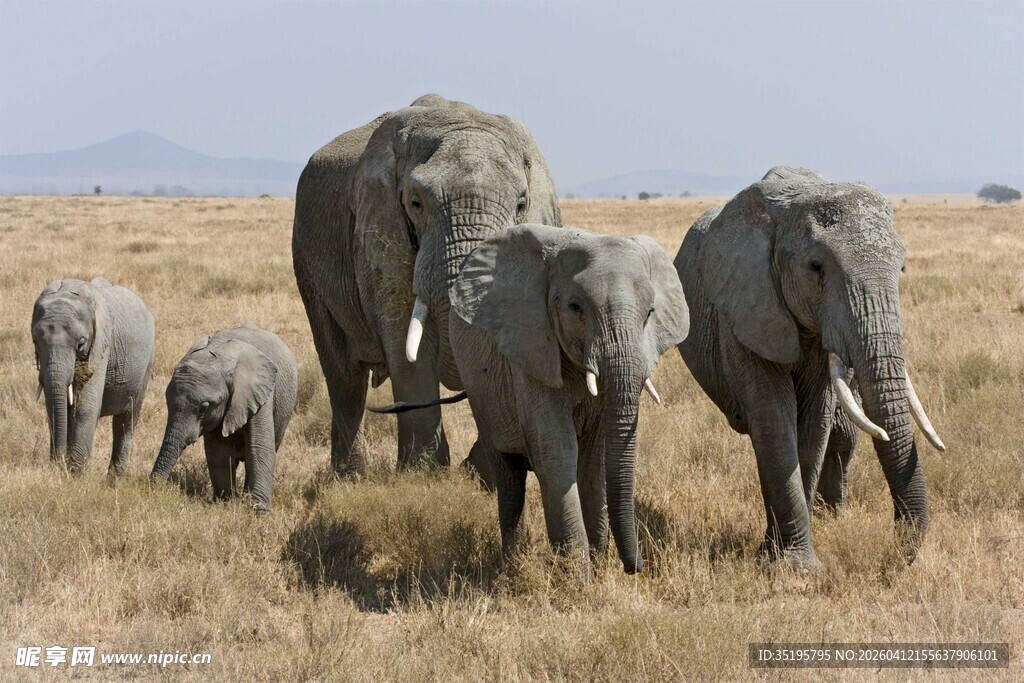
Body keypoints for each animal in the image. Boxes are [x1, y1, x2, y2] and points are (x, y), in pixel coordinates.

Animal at [31, 277, 155, 475]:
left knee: (125, 422)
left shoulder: (103, 344)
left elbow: (86, 406)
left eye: (81, 343)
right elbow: (56, 405)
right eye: (35, 341)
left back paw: (114, 480)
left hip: (147, 363)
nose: (57, 464)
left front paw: (76, 473)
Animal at [150, 323, 298, 512]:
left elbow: (260, 448)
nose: (154, 489)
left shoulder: (260, 393)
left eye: (204, 408)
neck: (219, 354)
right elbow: (218, 450)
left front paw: (259, 513)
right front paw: (225, 503)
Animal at [292, 94, 561, 476]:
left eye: (521, 204)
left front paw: (481, 471)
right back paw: (350, 477)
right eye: (416, 203)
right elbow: (404, 339)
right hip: (306, 257)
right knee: (344, 376)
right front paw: (424, 473)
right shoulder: (380, 231)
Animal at [446, 224, 689, 576]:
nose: (638, 568)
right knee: (508, 474)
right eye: (575, 307)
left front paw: (598, 565)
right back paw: (513, 563)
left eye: (649, 314)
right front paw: (577, 575)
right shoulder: (530, 346)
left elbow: (593, 455)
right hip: (481, 391)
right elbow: (557, 448)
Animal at [674, 166, 945, 570]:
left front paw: (782, 558)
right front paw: (794, 567)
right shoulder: (744, 310)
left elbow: (814, 420)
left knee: (843, 432)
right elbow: (774, 417)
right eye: (816, 267)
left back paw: (827, 516)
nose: (895, 555)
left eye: (902, 267)